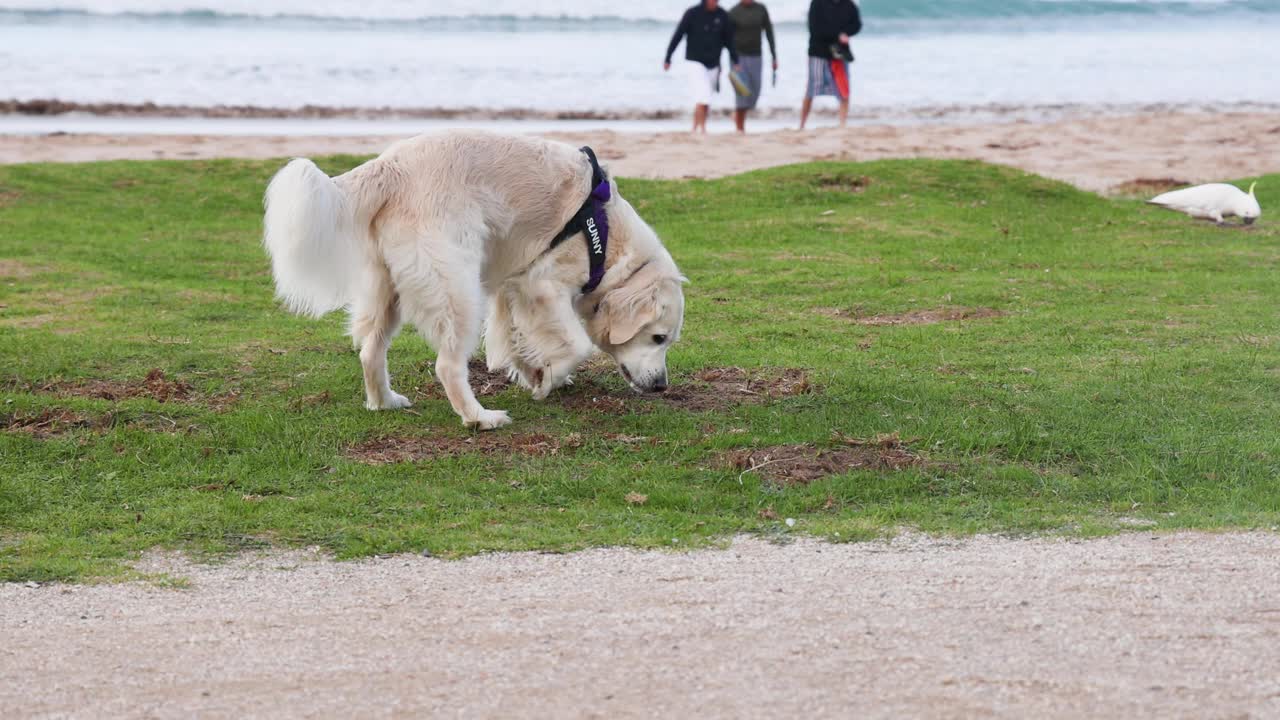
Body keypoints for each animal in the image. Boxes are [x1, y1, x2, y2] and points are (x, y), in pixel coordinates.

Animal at [257, 130, 680, 425]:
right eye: (658, 338)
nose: (662, 386)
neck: (606, 237)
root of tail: (390, 166)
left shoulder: (513, 287)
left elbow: (515, 337)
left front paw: (533, 370)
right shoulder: (542, 284)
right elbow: (578, 345)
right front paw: (548, 380)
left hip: (388, 288)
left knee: (370, 350)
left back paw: (384, 402)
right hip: (457, 288)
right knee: (447, 365)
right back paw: (479, 417)